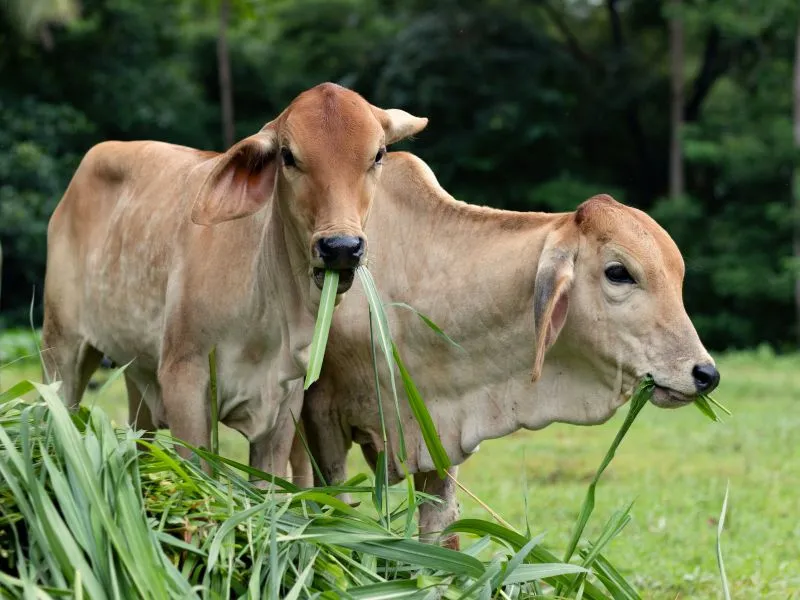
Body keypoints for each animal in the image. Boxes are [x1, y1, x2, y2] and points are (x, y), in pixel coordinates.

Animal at [43, 83, 428, 478]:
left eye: (378, 154)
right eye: (288, 156)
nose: (341, 247)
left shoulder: (284, 403)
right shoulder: (184, 377)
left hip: (137, 374)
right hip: (61, 347)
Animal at [298, 151, 720, 548]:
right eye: (619, 272)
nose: (706, 374)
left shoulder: (439, 434)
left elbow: (439, 534)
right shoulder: (321, 415)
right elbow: (334, 510)